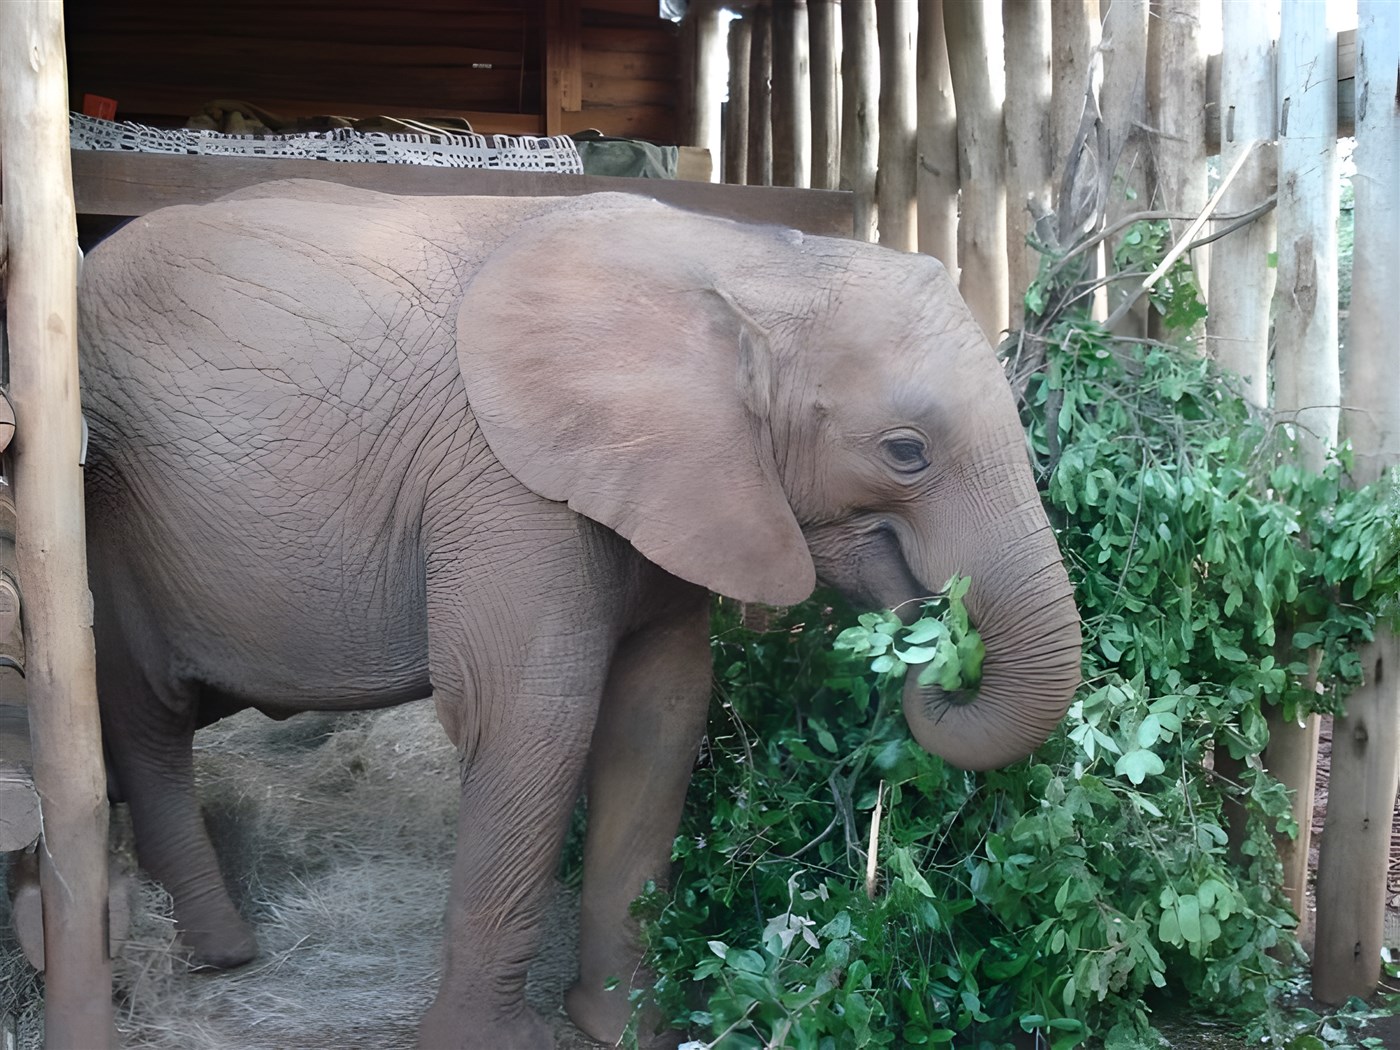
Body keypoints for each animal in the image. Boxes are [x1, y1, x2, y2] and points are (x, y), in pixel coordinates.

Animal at [76, 180, 1081, 1049]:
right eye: (906, 451)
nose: (940, 647)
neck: (750, 262)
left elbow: (660, 717)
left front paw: (630, 1030)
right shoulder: (506, 483)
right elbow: (534, 718)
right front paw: (494, 1045)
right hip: (105, 511)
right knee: (144, 716)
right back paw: (220, 950)